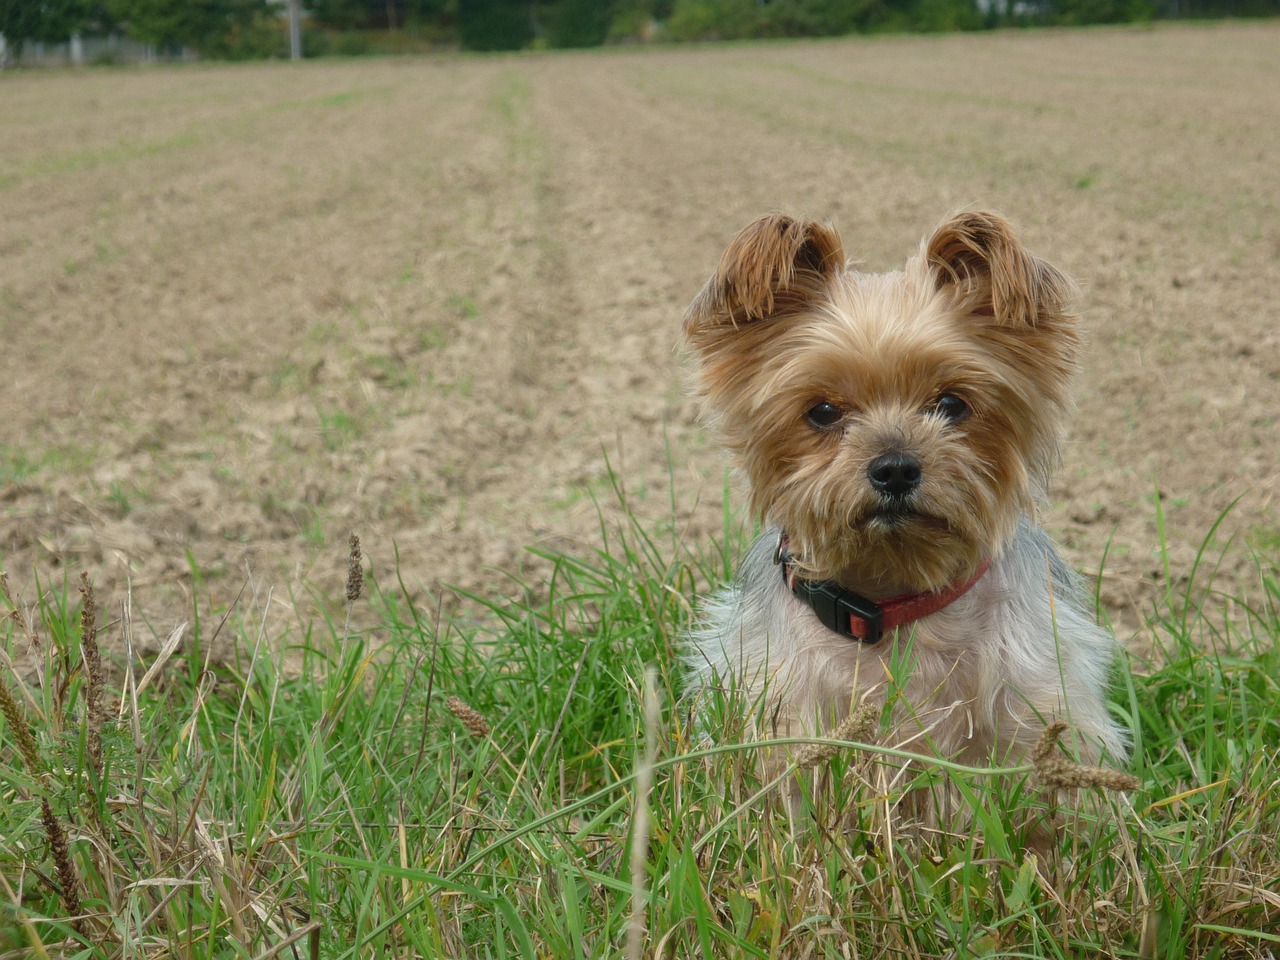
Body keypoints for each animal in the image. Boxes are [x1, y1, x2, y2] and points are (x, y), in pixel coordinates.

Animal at [686, 212, 1126, 814]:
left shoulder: (1035, 709)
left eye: (952, 404)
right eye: (822, 411)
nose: (895, 469)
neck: (893, 601)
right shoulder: (781, 714)